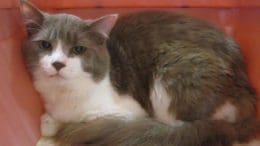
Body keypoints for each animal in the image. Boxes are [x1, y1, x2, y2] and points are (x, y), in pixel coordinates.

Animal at [20, 0, 260, 146]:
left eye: (78, 49)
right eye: (45, 45)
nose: (58, 64)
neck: (63, 94)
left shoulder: (129, 110)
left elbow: (79, 119)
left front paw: (55, 122)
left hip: (168, 74)